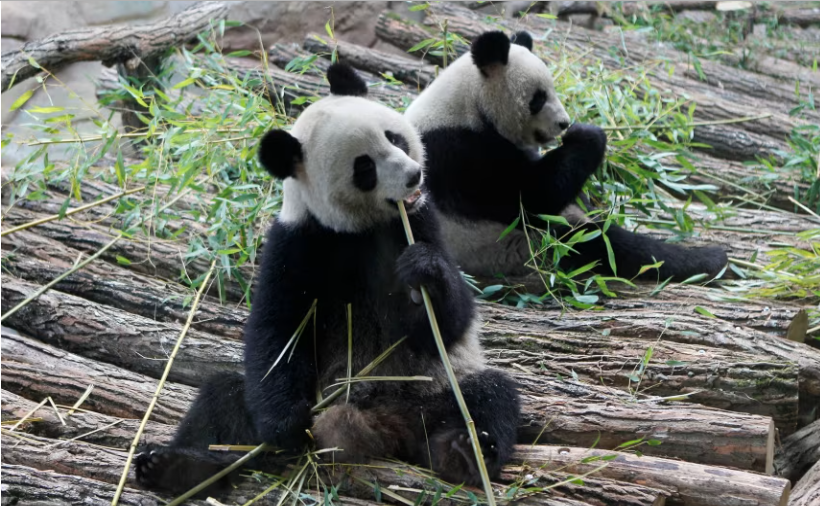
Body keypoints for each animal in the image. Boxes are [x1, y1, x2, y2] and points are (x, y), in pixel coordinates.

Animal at [134, 63, 520, 497]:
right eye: (364, 168)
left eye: (394, 137)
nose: (413, 175)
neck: (357, 229)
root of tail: (383, 427)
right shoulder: (297, 243)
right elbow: (278, 331)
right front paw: (287, 428)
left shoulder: (421, 222)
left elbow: (449, 321)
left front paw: (424, 271)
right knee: (223, 397)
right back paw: (176, 467)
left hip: (434, 390)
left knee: (489, 396)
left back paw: (464, 452)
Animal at [405, 31, 728, 283]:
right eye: (538, 99)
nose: (563, 123)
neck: (468, 103)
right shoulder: (461, 153)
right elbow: (530, 197)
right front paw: (588, 135)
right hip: (514, 245)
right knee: (600, 243)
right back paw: (708, 260)